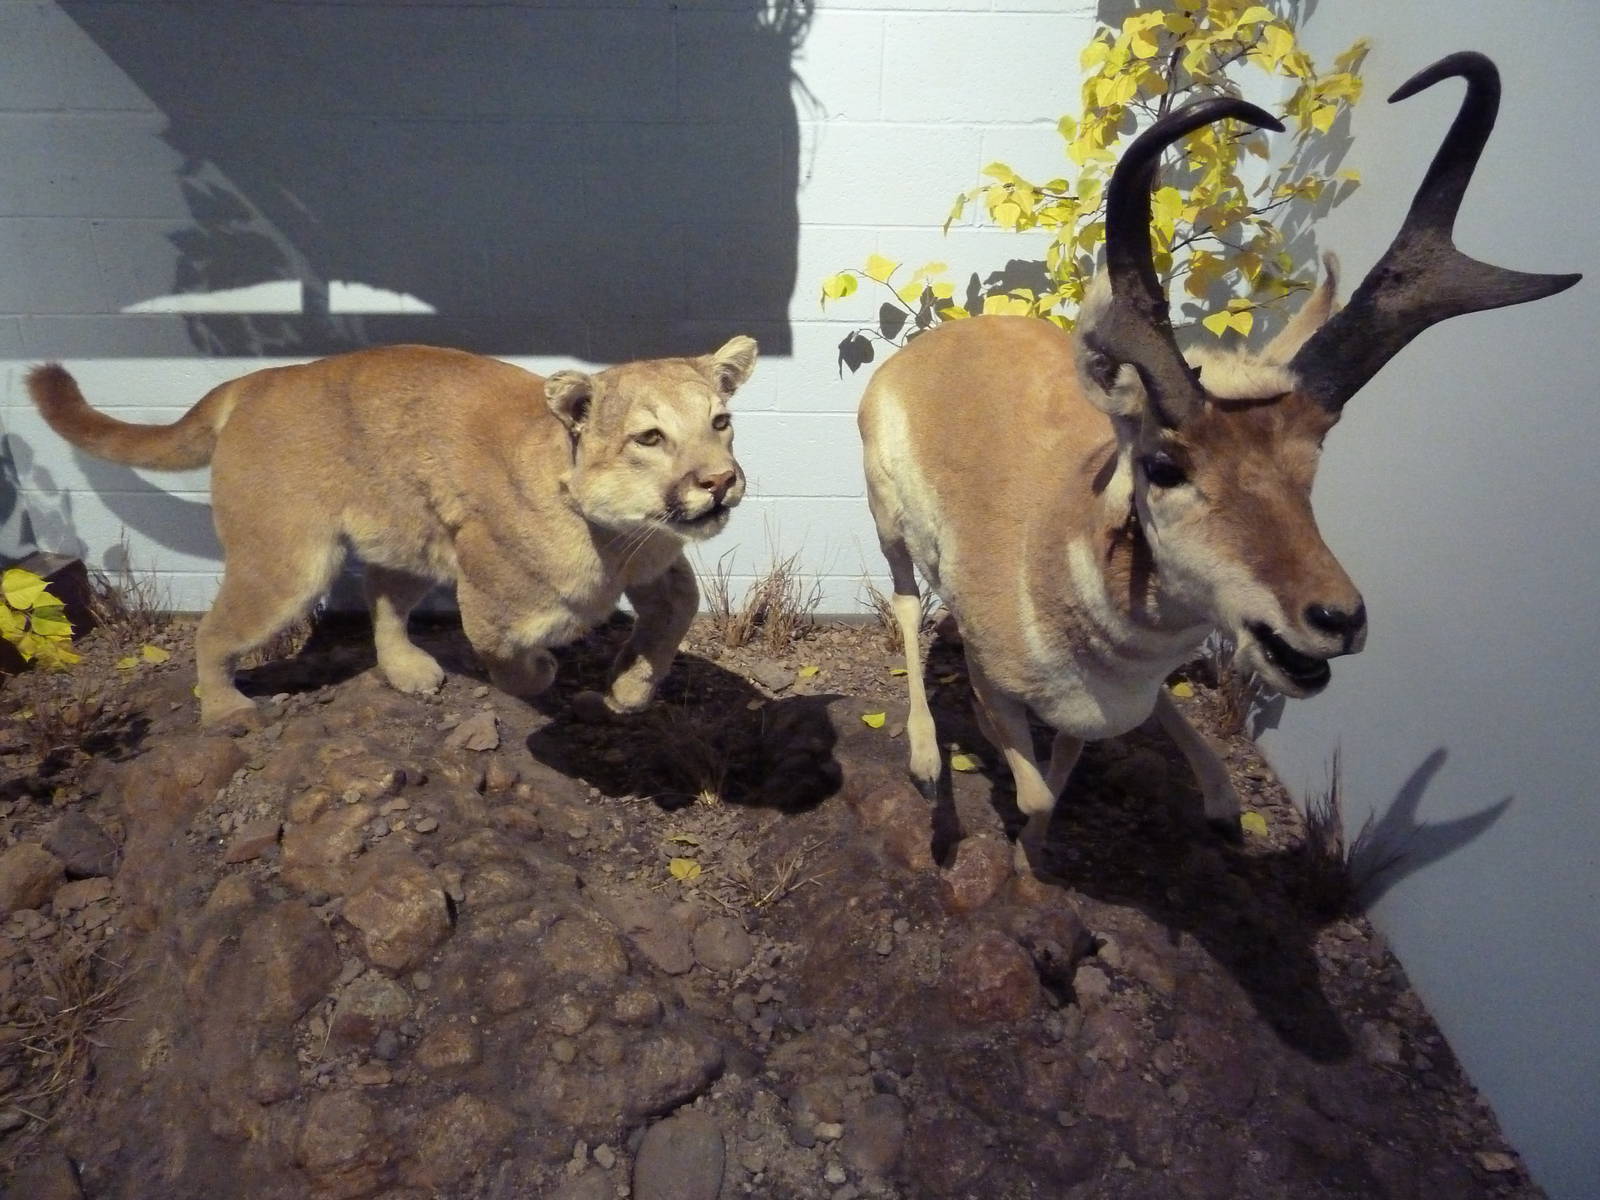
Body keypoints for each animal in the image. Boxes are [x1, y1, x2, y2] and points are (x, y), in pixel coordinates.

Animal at [859, 52, 1580, 873]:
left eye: (1315, 456)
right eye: (1164, 465)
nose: (1337, 619)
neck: (1054, 540)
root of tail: (936, 344)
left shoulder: (1102, 711)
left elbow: (1065, 773)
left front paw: (1036, 855)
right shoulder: (992, 681)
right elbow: (1035, 787)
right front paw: (1007, 844)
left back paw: (1223, 798)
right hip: (887, 520)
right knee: (907, 602)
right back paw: (925, 762)